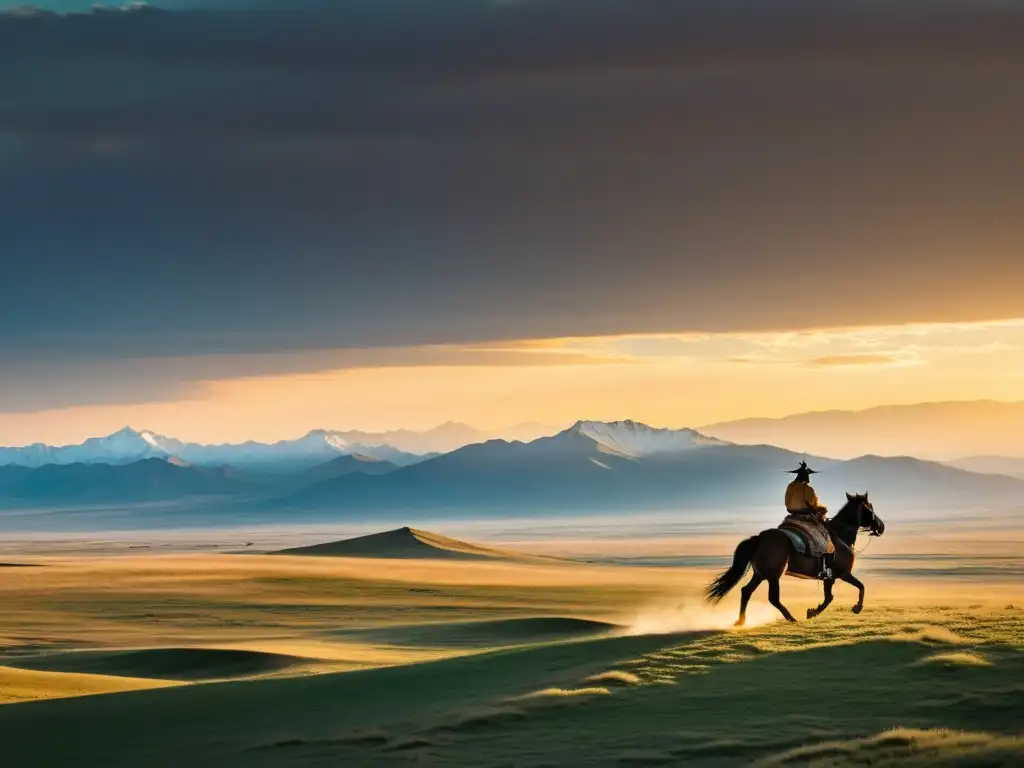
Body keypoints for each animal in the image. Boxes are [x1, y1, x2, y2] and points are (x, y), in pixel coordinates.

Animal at [700, 495, 884, 626]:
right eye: (871, 508)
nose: (881, 526)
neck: (840, 536)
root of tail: (759, 538)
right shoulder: (843, 574)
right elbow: (860, 587)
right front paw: (856, 608)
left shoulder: (828, 577)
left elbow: (829, 597)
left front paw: (812, 612)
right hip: (774, 575)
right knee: (772, 598)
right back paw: (791, 618)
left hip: (760, 574)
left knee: (746, 591)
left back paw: (741, 621)